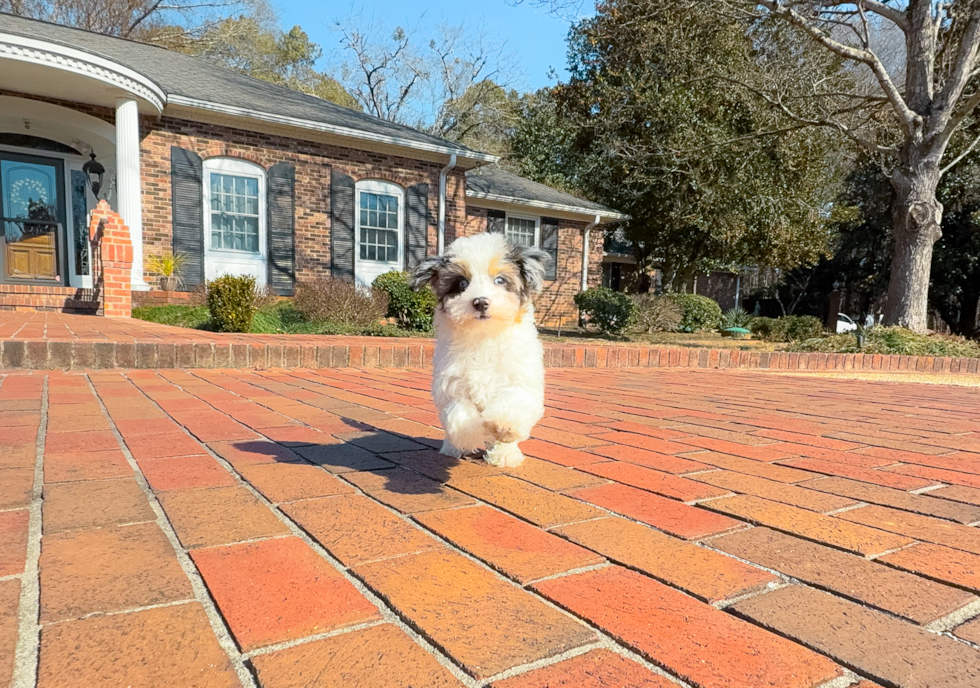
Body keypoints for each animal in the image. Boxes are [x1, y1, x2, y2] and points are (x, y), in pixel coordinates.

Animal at [412, 232, 552, 468]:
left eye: (500, 280)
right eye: (461, 283)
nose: (480, 302)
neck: (484, 335)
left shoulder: (521, 379)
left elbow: (513, 403)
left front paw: (503, 428)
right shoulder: (451, 383)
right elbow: (459, 414)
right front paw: (467, 436)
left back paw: (505, 454)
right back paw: (452, 447)